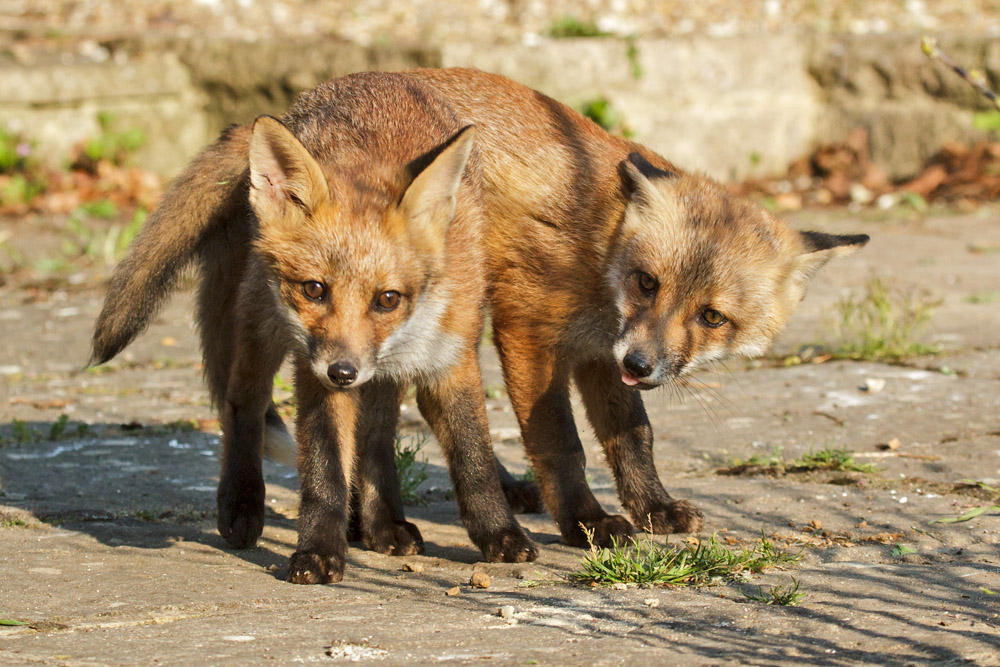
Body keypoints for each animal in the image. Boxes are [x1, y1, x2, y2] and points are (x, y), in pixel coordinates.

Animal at [89, 72, 537, 584]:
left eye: (387, 299)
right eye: (314, 289)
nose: (341, 372)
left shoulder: (450, 356)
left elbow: (473, 456)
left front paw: (500, 534)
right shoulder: (313, 371)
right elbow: (324, 470)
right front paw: (319, 551)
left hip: (376, 374)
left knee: (376, 436)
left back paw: (382, 524)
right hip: (263, 321)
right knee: (242, 404)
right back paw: (242, 504)